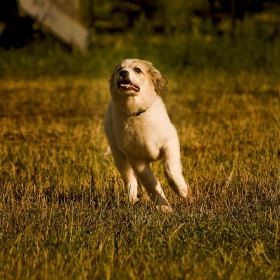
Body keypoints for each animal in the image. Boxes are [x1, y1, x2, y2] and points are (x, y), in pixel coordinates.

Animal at [103, 59, 188, 212]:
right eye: (119, 69)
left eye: (137, 69)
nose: (123, 73)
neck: (137, 112)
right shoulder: (135, 158)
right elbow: (150, 182)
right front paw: (164, 206)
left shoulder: (170, 140)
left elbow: (170, 168)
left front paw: (181, 190)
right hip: (119, 156)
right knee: (130, 179)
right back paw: (132, 199)